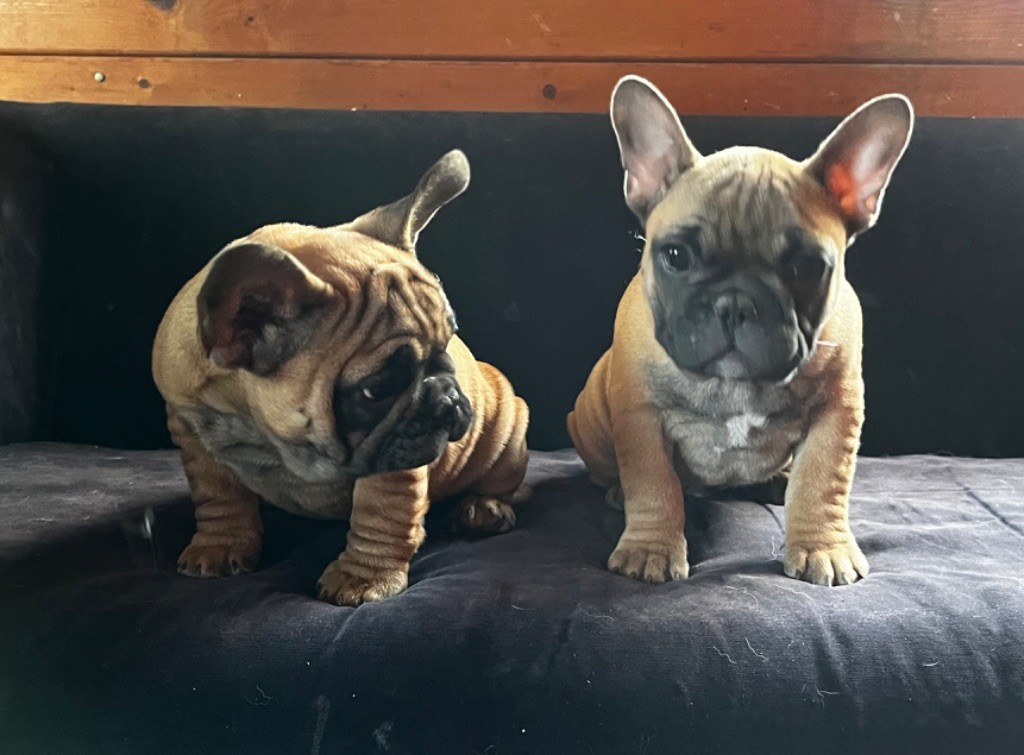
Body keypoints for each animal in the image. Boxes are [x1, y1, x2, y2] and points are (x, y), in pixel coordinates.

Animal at [153, 150, 529, 606]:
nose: (448, 399)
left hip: (507, 432)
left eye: (449, 342)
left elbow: (381, 513)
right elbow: (217, 495)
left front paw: (362, 578)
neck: (266, 431)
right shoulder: (192, 431)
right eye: (376, 390)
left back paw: (484, 509)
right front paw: (219, 544)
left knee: (504, 483)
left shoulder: (395, 456)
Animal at [568, 77, 913, 586]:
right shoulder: (641, 415)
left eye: (806, 266)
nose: (735, 303)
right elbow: (654, 484)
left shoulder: (838, 410)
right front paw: (650, 549)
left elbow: (822, 481)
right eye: (675, 256)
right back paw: (615, 491)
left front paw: (823, 547)